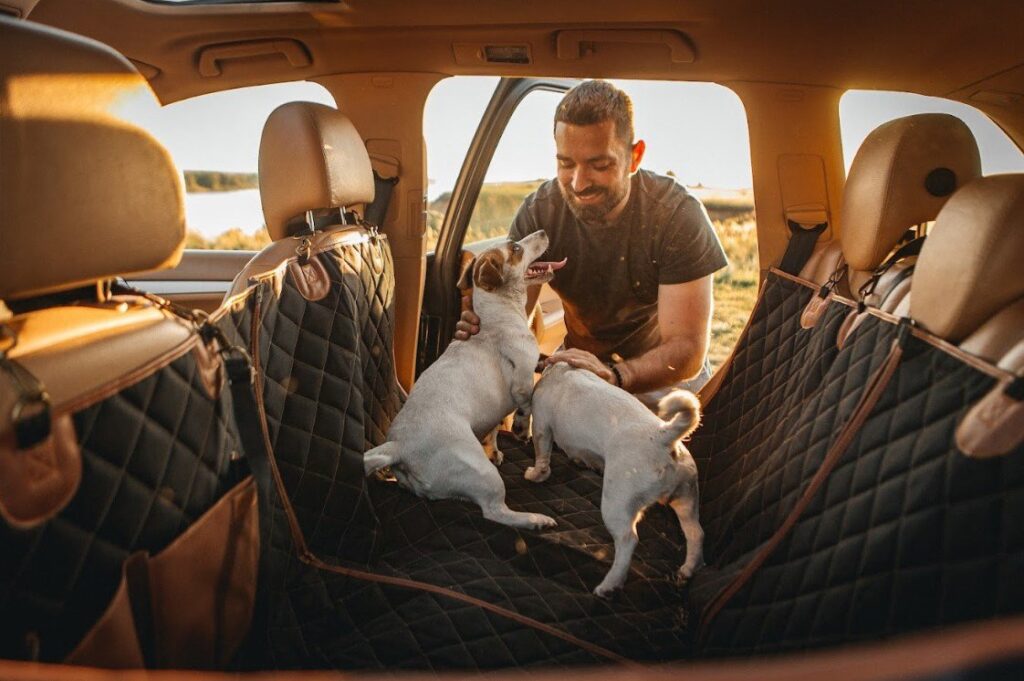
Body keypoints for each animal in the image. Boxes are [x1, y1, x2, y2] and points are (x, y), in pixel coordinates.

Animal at [362, 231, 569, 528]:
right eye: (516, 248)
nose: (543, 232)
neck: (497, 316)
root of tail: (400, 447)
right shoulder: (522, 379)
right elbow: (527, 402)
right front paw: (521, 428)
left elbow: (494, 428)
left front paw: (494, 448)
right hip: (482, 474)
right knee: (494, 511)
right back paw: (535, 519)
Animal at [528, 364, 704, 593]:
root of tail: (664, 436)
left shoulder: (541, 426)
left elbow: (542, 458)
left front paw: (535, 474)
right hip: (686, 500)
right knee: (696, 533)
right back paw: (687, 570)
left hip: (617, 504)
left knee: (628, 541)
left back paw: (609, 585)